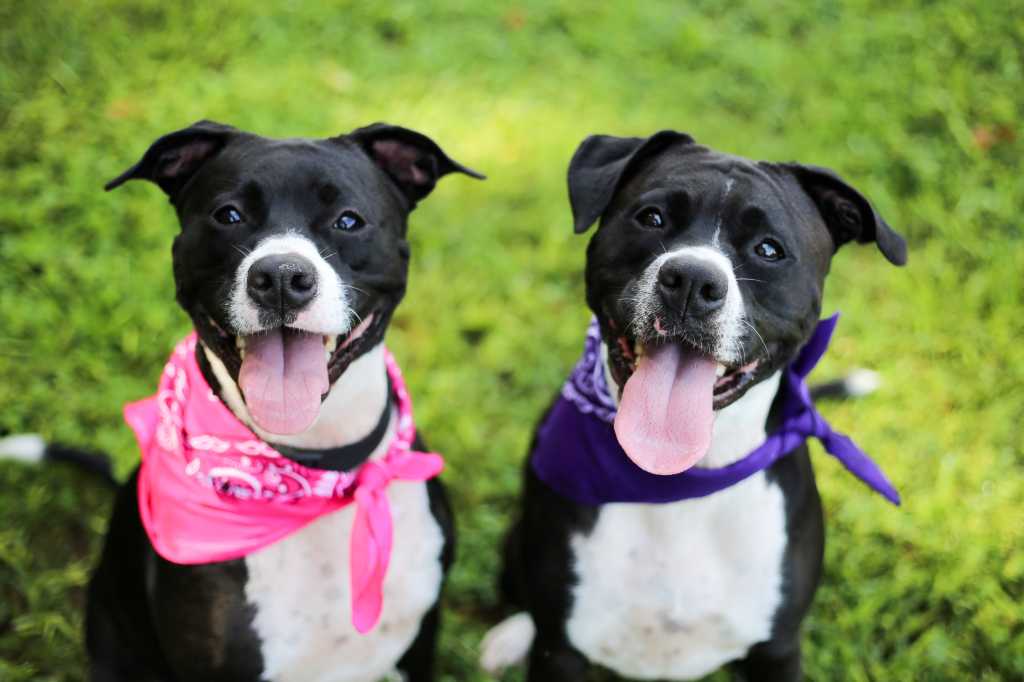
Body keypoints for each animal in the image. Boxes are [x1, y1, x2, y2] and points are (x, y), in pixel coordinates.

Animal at [483, 130, 909, 675]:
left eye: (768, 249)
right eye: (652, 218)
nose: (690, 280)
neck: (678, 481)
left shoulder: (777, 649)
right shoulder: (559, 650)